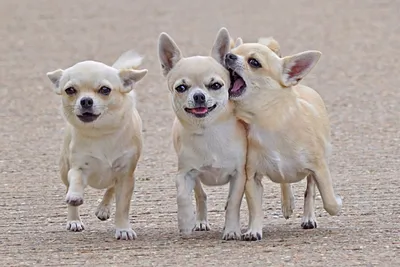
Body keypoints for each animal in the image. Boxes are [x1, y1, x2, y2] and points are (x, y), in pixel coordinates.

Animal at [47, 49, 147, 241]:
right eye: (70, 90)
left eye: (105, 90)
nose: (86, 100)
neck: (101, 133)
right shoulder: (78, 167)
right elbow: (76, 180)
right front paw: (75, 196)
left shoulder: (126, 175)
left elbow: (122, 207)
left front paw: (123, 229)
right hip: (64, 169)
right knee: (69, 187)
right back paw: (74, 220)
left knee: (111, 188)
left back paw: (103, 208)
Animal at [157, 27, 247, 241]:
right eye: (181, 88)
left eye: (215, 85)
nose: (199, 96)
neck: (209, 132)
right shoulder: (184, 174)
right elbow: (182, 197)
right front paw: (186, 222)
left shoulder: (239, 175)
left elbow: (233, 203)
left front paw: (232, 230)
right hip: (196, 178)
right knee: (200, 195)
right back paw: (200, 221)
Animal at [223, 30, 342, 242]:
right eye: (233, 52)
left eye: (254, 62)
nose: (228, 55)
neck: (269, 122)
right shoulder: (252, 178)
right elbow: (256, 209)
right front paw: (254, 230)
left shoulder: (319, 168)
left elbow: (328, 201)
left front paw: (336, 203)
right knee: (284, 180)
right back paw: (287, 203)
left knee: (310, 190)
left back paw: (308, 217)